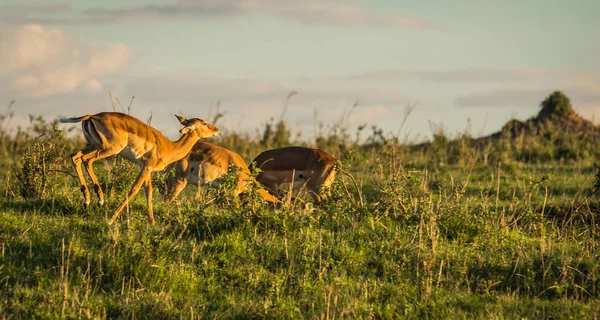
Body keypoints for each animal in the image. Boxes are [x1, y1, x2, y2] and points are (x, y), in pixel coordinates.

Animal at [60, 112, 220, 225]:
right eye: (204, 123)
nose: (216, 129)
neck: (170, 147)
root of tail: (92, 116)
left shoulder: (146, 168)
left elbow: (148, 191)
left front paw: (152, 222)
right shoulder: (146, 167)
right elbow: (134, 189)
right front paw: (111, 219)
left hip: (93, 146)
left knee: (75, 156)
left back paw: (87, 201)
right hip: (108, 149)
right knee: (86, 160)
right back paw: (99, 199)